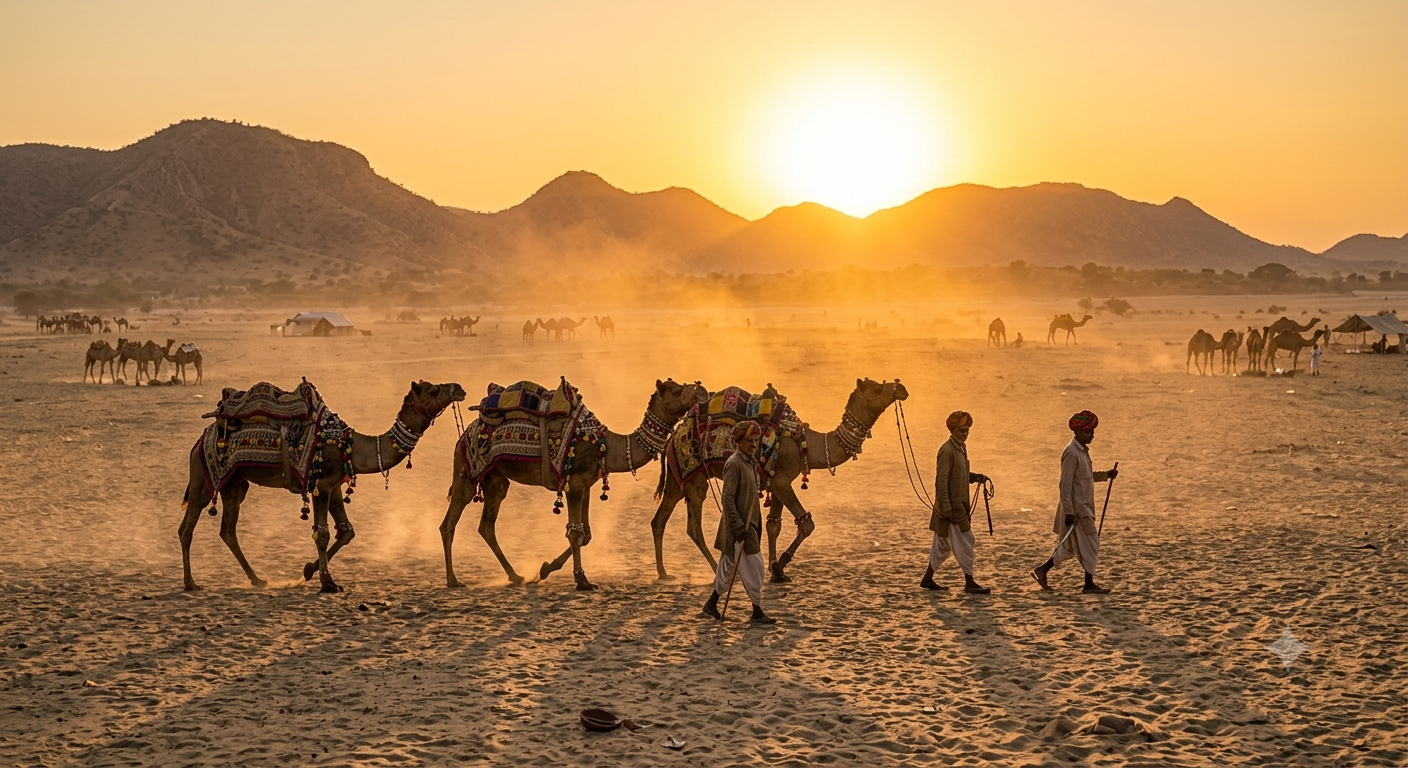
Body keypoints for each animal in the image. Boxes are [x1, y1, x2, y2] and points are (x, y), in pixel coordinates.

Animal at [179, 380, 466, 592]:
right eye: (433, 390)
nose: (459, 388)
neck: (350, 446)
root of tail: (200, 439)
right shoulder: (322, 485)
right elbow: (323, 533)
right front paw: (328, 583)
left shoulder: (335, 486)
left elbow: (347, 531)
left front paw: (308, 570)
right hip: (203, 477)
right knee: (188, 526)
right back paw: (191, 583)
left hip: (235, 484)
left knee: (227, 529)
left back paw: (257, 579)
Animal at [439, 379, 708, 590]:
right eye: (676, 390)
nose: (703, 391)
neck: (606, 446)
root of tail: (466, 433)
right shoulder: (574, 484)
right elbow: (576, 533)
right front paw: (582, 580)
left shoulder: (586, 485)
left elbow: (586, 534)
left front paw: (546, 569)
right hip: (467, 471)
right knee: (449, 523)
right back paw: (453, 580)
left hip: (495, 479)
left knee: (486, 525)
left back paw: (515, 576)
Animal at [651, 378, 910, 583]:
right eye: (878, 386)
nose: (901, 387)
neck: (807, 444)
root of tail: (672, 437)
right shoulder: (782, 481)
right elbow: (806, 524)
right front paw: (779, 564)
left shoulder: (776, 481)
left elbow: (773, 525)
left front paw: (776, 571)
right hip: (695, 477)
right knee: (693, 527)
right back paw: (716, 570)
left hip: (677, 480)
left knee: (659, 520)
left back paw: (663, 573)